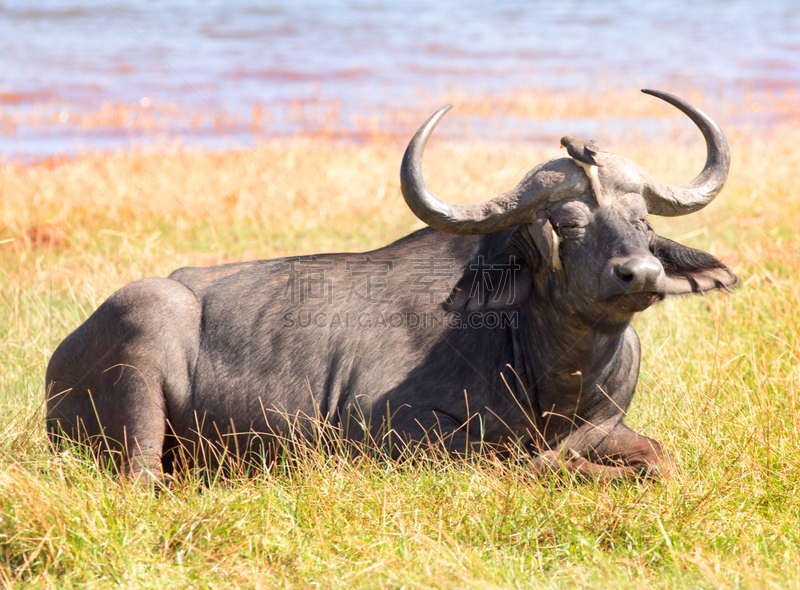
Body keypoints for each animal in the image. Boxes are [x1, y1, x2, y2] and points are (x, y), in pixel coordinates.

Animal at [47, 90, 736, 484]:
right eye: (566, 223)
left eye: (642, 221)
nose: (640, 274)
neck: (553, 369)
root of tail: (58, 363)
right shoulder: (396, 434)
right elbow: (513, 460)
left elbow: (656, 457)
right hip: (144, 334)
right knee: (141, 478)